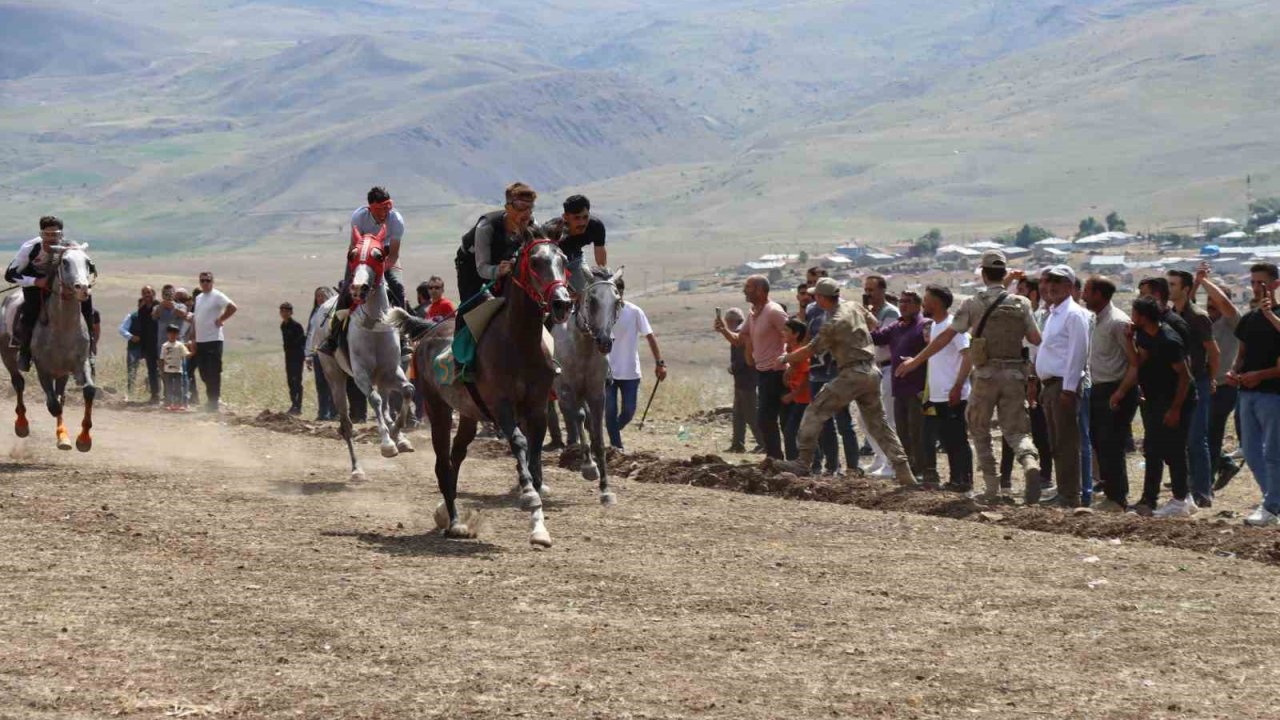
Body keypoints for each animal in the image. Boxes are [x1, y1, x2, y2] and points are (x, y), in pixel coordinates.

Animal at [0, 243, 97, 450]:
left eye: (88, 262)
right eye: (65, 262)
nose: (83, 288)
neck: (63, 327)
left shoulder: (80, 362)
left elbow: (87, 391)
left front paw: (83, 439)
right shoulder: (42, 367)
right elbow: (53, 405)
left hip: (62, 371)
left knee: (60, 393)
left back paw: (63, 438)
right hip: (7, 354)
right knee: (18, 383)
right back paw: (22, 425)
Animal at [316, 221, 412, 476]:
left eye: (379, 255)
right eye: (352, 254)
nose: (359, 287)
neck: (373, 324)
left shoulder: (392, 370)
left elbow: (408, 391)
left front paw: (398, 435)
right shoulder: (360, 374)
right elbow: (375, 400)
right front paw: (387, 445)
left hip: (382, 377)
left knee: (388, 403)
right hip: (334, 376)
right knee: (346, 423)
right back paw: (357, 469)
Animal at [386, 235, 573, 543]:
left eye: (564, 260)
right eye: (535, 261)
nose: (561, 303)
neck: (520, 343)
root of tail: (428, 332)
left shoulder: (537, 409)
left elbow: (535, 462)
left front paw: (539, 528)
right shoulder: (501, 406)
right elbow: (519, 443)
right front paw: (528, 494)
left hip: (469, 413)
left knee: (456, 456)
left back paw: (450, 514)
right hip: (437, 407)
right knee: (443, 463)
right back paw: (454, 521)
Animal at [550, 265, 624, 504]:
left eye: (617, 300)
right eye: (592, 300)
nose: (605, 341)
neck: (581, 346)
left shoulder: (597, 394)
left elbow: (598, 436)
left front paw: (606, 489)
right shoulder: (566, 392)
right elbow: (580, 417)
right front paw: (589, 468)